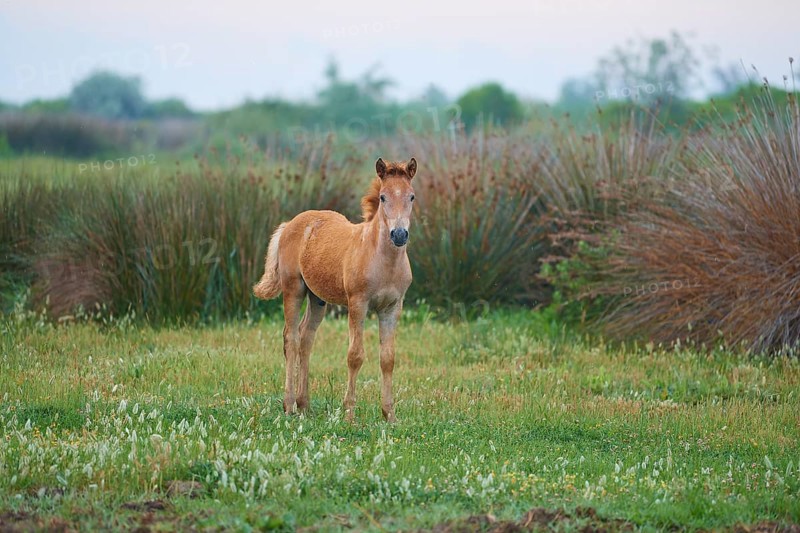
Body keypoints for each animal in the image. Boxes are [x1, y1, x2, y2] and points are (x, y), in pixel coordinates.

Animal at [253, 157, 417, 422]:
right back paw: (289, 405)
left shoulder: (392, 307)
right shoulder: (358, 304)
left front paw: (389, 415)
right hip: (293, 289)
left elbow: (388, 358)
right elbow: (355, 355)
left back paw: (304, 405)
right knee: (291, 338)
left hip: (317, 298)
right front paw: (349, 414)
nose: (400, 234)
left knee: (306, 338)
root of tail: (290, 224)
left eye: (411, 196)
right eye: (383, 197)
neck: (382, 260)